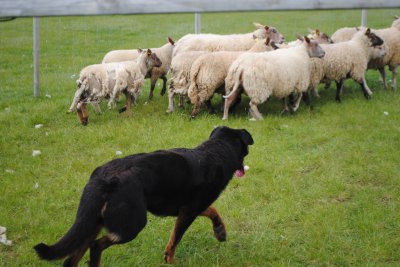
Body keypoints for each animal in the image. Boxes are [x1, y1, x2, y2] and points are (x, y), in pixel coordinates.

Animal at [34, 126, 253, 266]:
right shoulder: (188, 211)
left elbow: (212, 211)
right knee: (95, 247)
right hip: (132, 224)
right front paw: (171, 261)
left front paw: (220, 231)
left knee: (71, 258)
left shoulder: (189, 207)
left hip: (92, 222)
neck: (215, 151)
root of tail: (105, 176)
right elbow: (175, 240)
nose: (244, 169)